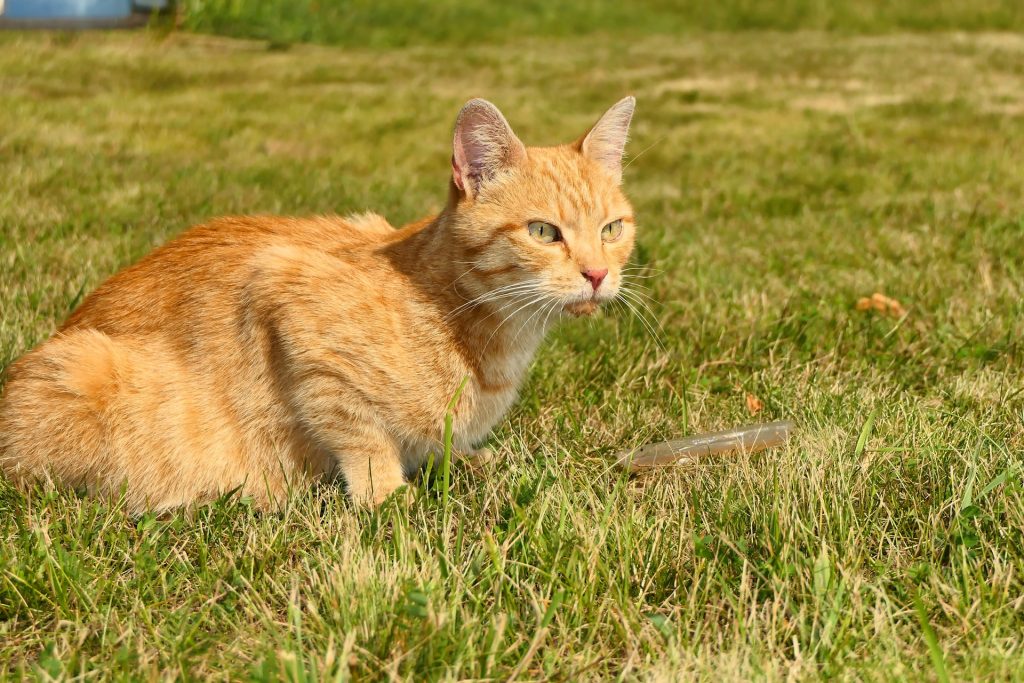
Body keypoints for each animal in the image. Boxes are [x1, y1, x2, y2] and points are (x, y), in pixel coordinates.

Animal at [0, 97, 634, 511]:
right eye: (543, 232)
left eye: (612, 229)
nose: (597, 274)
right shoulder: (288, 295)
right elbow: (359, 434)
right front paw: (387, 495)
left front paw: (463, 460)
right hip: (84, 369)